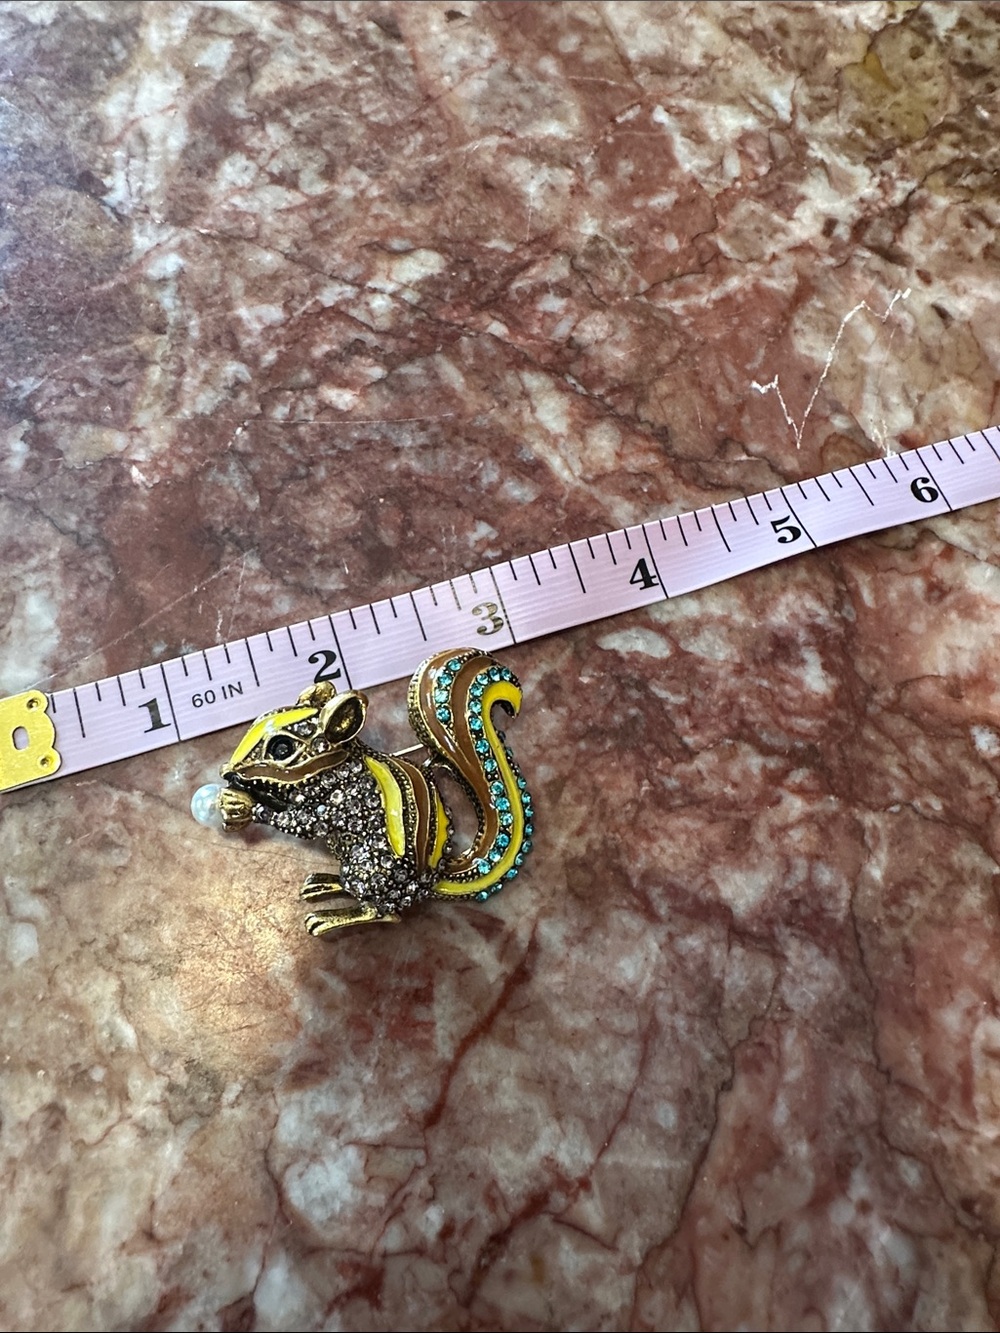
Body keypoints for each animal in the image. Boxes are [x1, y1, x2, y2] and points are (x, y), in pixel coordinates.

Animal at [218, 647, 534, 936]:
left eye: (282, 748)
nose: (227, 772)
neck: (340, 763)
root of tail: (431, 882)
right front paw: (232, 800)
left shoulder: (335, 804)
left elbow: (300, 824)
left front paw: (246, 806)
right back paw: (324, 882)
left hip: (367, 870)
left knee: (383, 913)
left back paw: (326, 919)